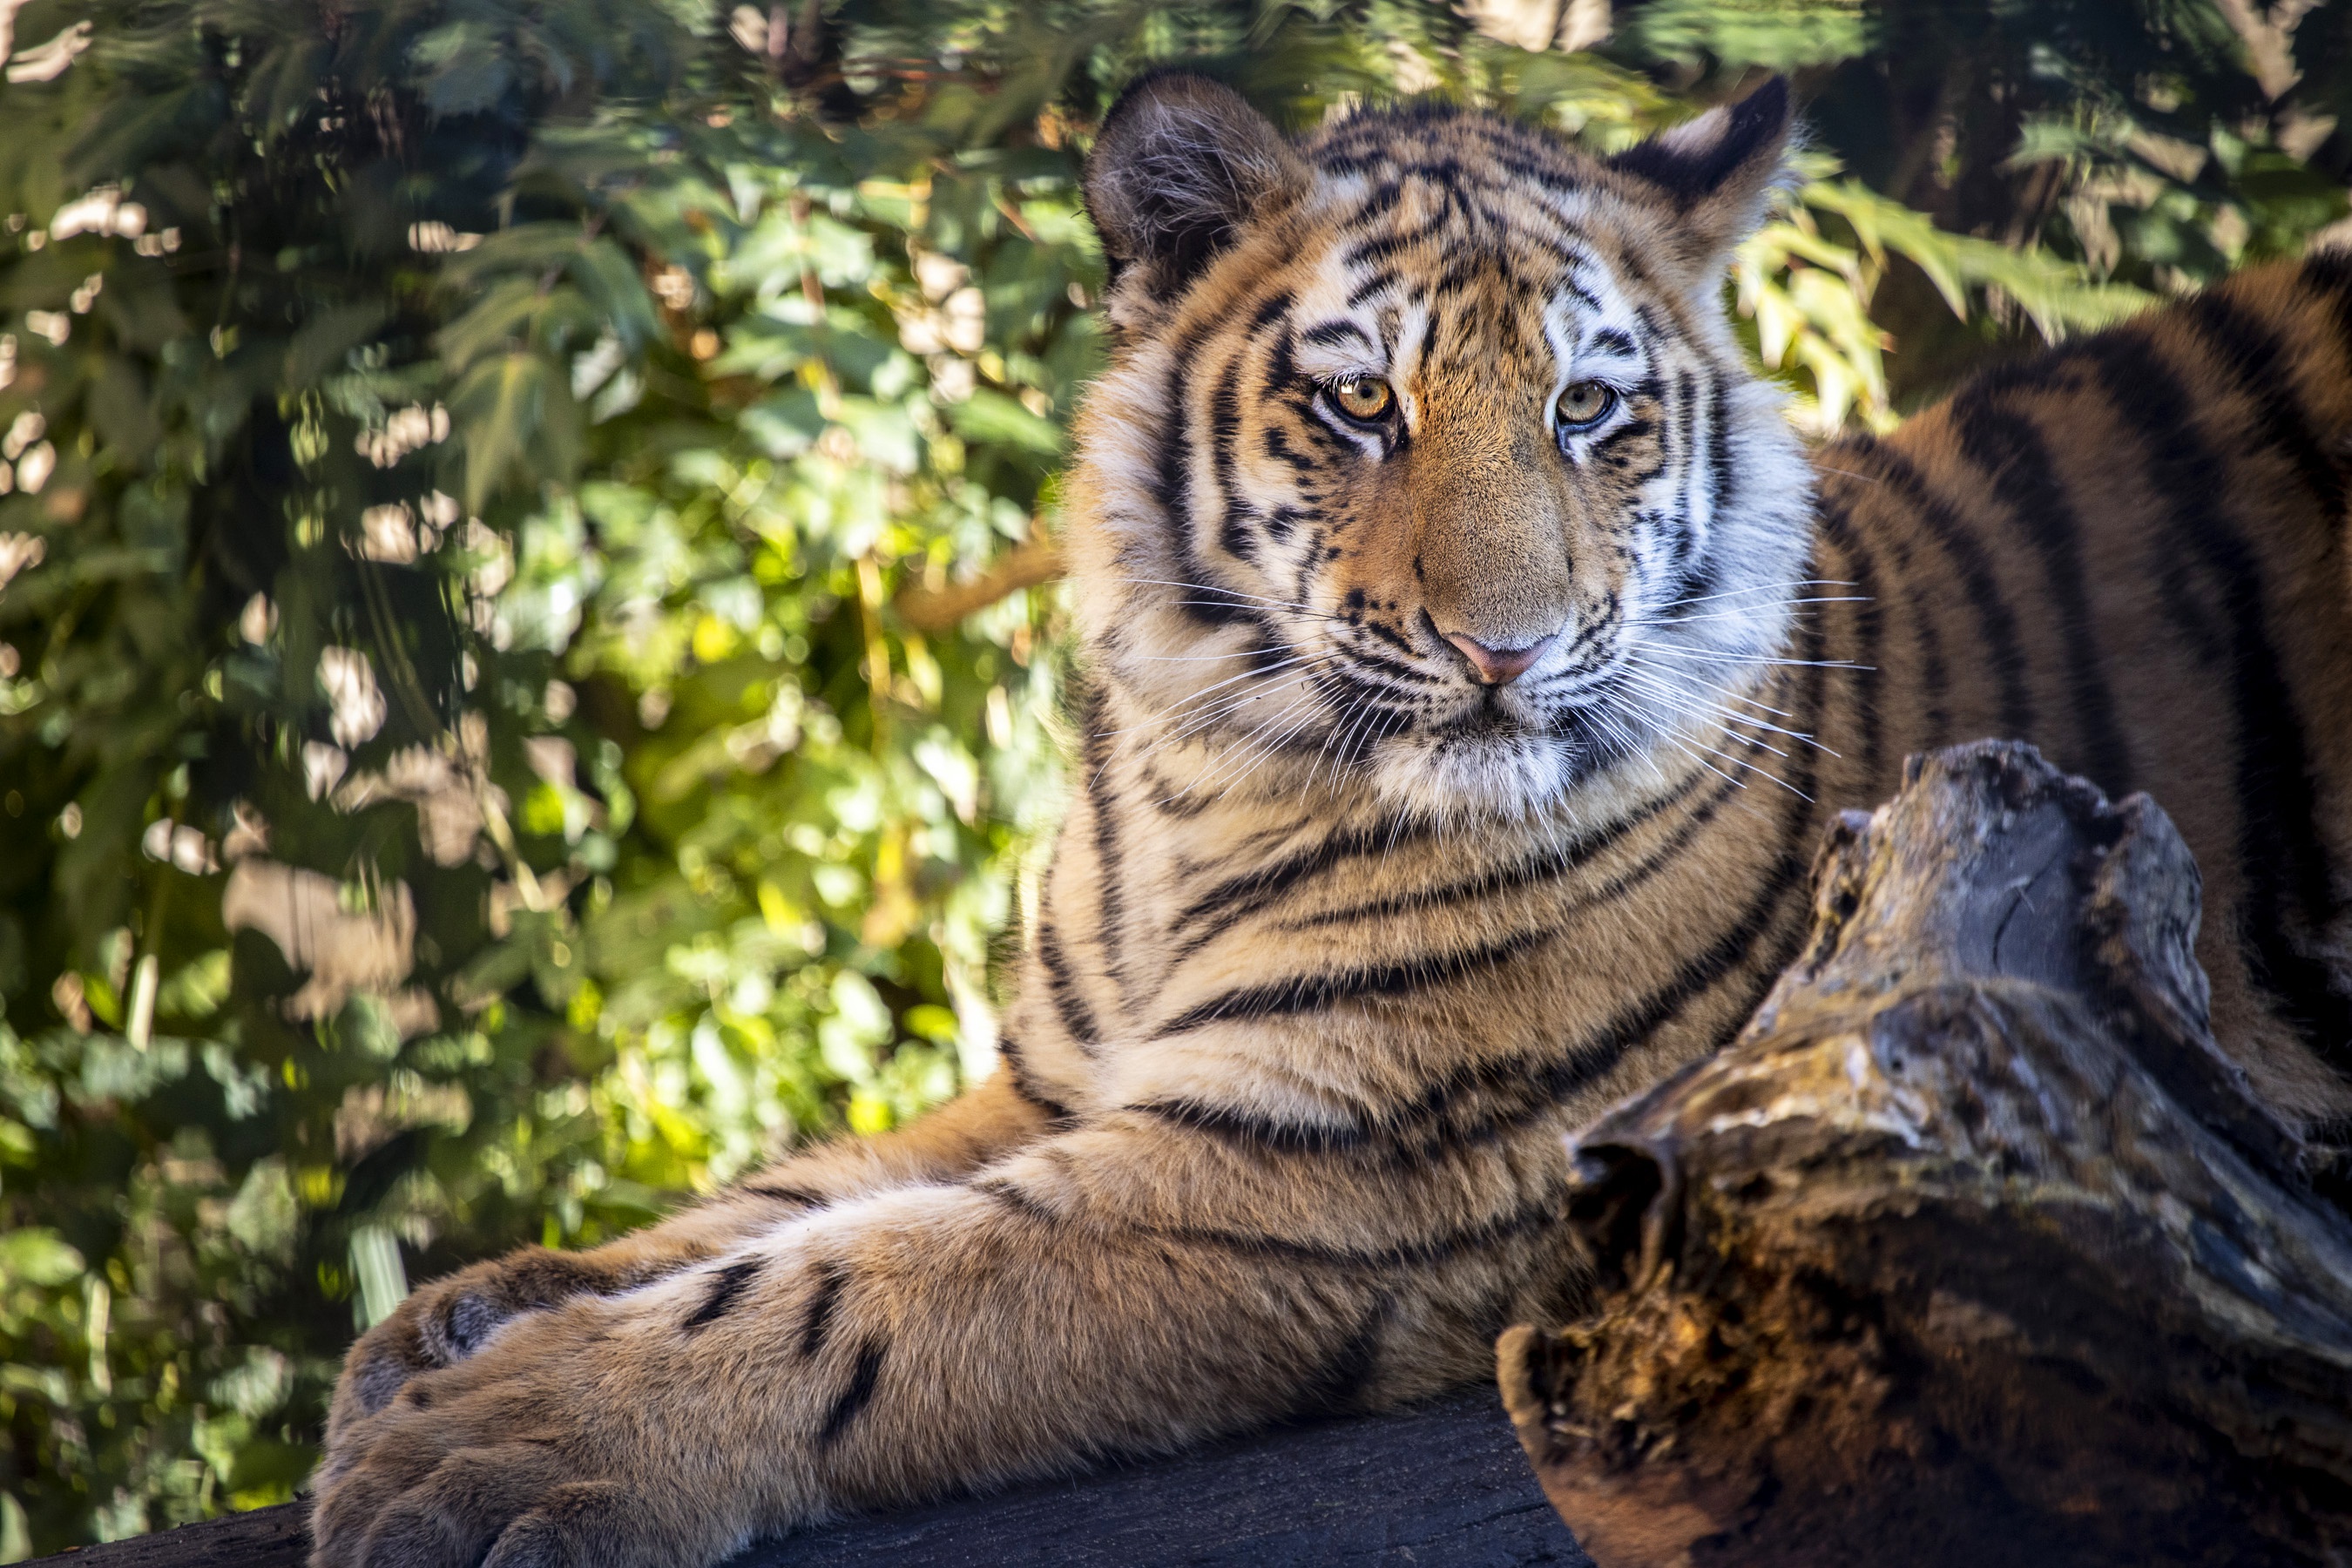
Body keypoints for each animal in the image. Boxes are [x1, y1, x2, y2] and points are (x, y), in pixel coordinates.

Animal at [313, 70, 2352, 1568]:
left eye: (1591, 410)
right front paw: (449, 1327)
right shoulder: (1054, 1087)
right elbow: (783, 1197)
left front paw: (496, 1450)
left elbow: (853, 1292)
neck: (1204, 775)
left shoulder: (1300, 1183)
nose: (1504, 651)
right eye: (1360, 401)